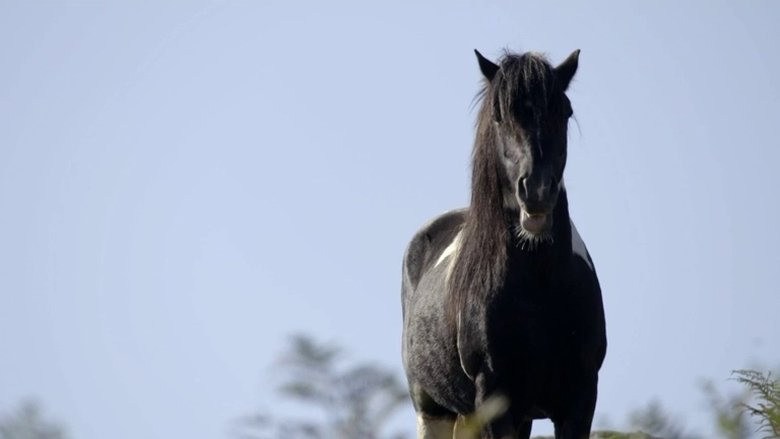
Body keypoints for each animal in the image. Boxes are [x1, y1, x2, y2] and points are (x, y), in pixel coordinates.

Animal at [400, 49, 607, 439]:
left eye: (565, 110)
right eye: (499, 116)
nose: (537, 192)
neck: (540, 285)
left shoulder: (580, 398)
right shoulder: (494, 401)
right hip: (432, 410)